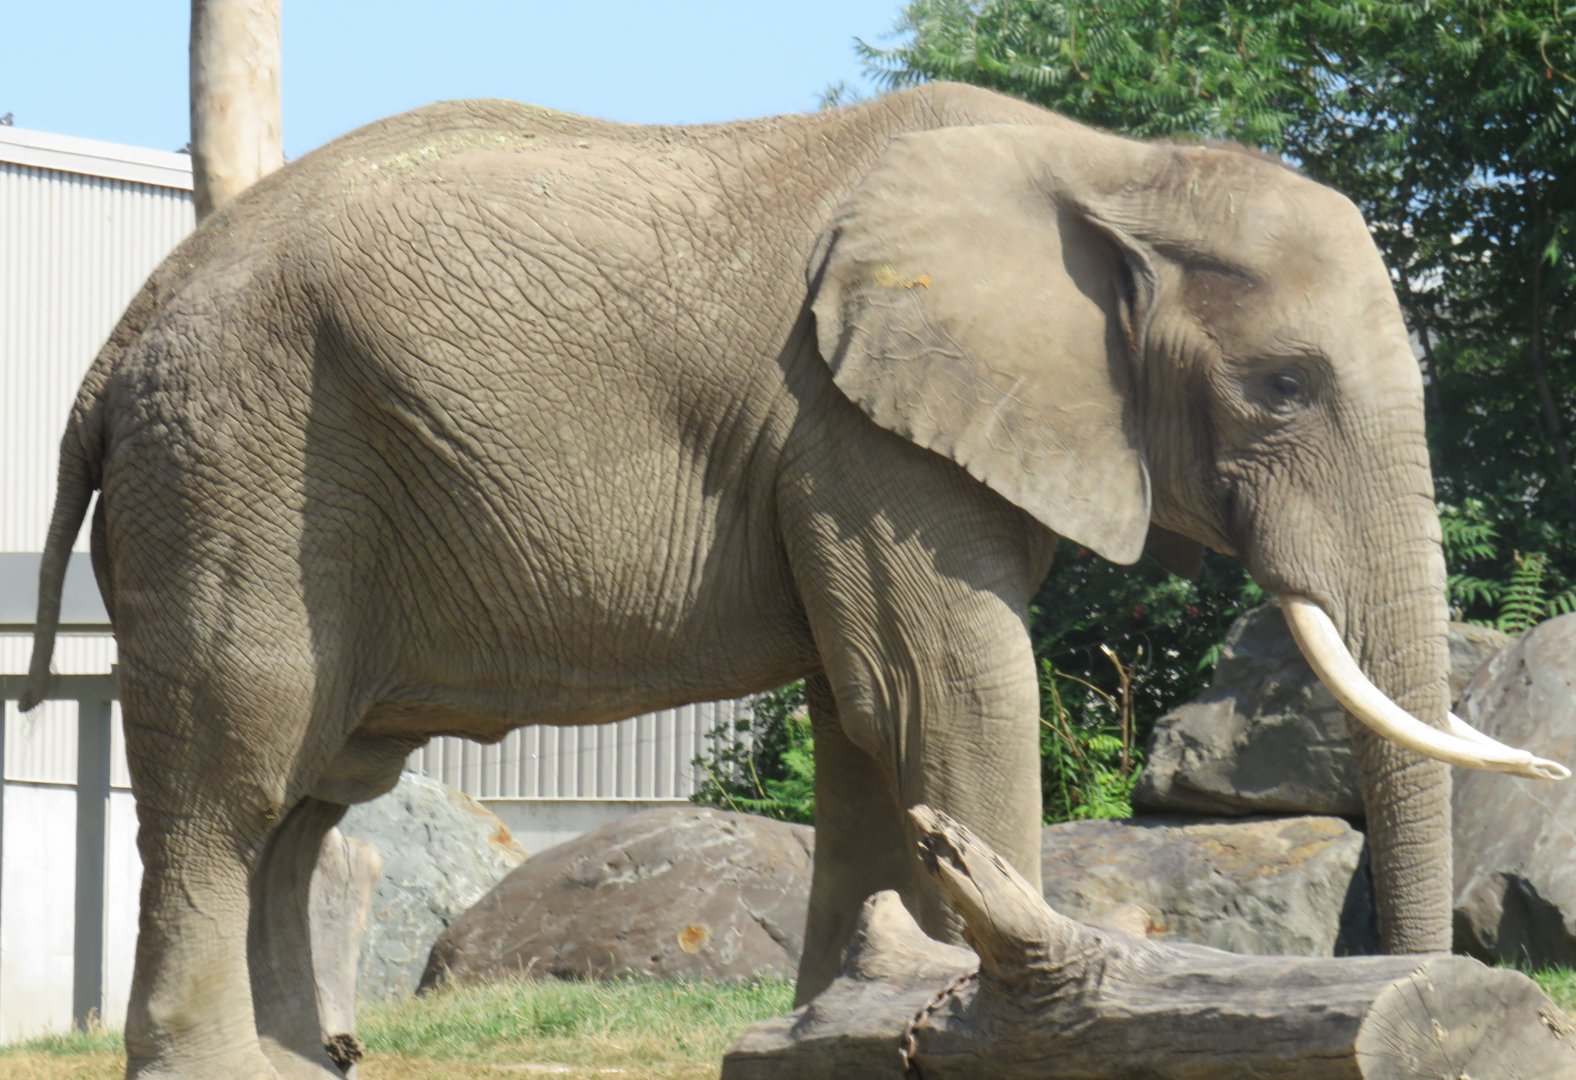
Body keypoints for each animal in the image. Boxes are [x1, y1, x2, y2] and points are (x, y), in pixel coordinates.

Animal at [24, 82, 1566, 1078]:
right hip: (235, 465)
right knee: (235, 776)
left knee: (309, 793)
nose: (1416, 1003)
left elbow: (863, 725)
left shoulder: (858, 437)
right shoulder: (855, 426)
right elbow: (945, 696)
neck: (1116, 165)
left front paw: (837, 1031)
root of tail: (115, 344)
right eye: (1283, 387)